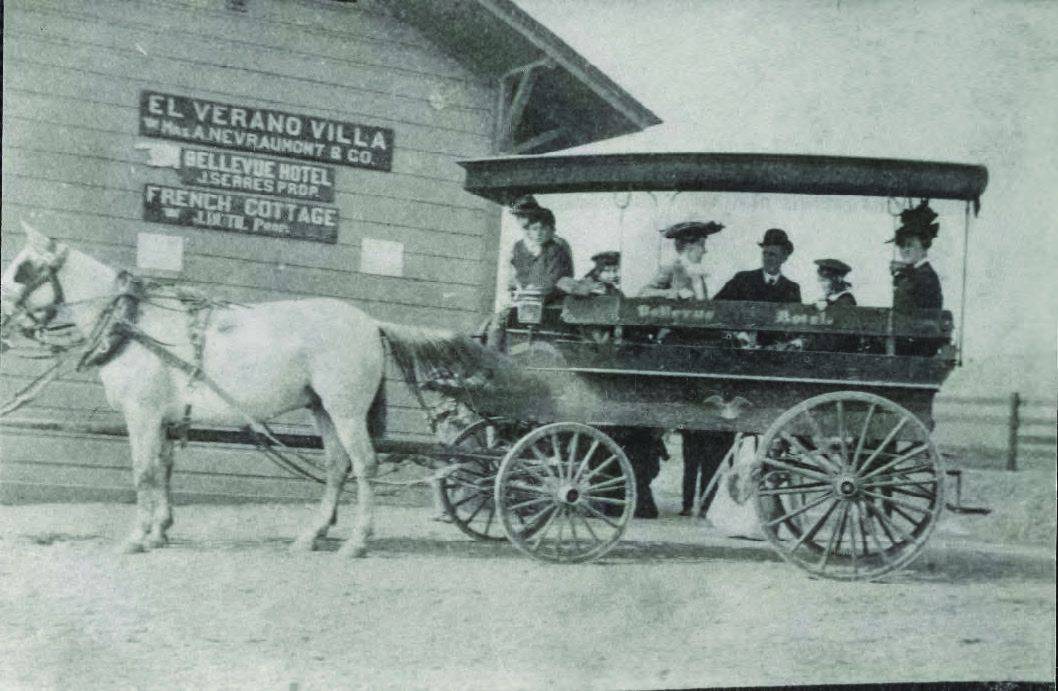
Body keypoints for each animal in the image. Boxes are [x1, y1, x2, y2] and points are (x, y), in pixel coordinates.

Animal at [1, 226, 490, 554]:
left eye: (22, 269)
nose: (5, 323)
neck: (133, 322)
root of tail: (371, 323)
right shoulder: (162, 419)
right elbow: (162, 470)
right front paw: (159, 530)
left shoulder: (141, 415)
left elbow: (143, 473)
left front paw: (137, 538)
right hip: (323, 410)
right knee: (336, 467)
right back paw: (311, 535)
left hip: (346, 409)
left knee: (364, 465)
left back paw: (357, 541)